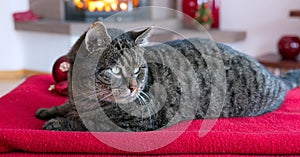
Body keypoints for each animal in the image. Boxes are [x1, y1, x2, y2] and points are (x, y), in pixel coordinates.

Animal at [35, 21, 300, 132]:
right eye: (116, 70)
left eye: (138, 70)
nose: (133, 87)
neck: (83, 94)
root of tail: (274, 77)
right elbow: (65, 106)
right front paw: (51, 110)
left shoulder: (135, 122)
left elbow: (88, 123)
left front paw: (58, 122)